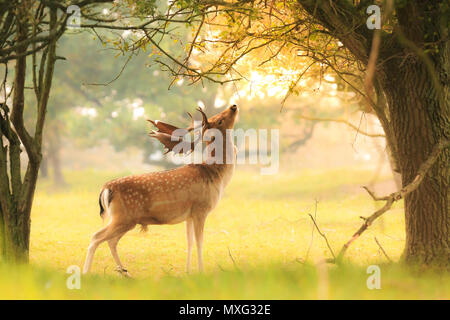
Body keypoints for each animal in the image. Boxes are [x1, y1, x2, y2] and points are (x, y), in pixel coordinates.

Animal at [83, 104, 239, 276]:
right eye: (219, 120)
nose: (233, 106)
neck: (216, 176)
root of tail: (106, 188)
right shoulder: (201, 209)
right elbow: (200, 242)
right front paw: (201, 272)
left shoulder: (189, 215)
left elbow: (190, 242)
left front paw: (188, 272)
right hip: (122, 217)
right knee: (96, 237)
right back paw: (86, 273)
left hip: (125, 220)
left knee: (111, 241)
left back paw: (126, 273)